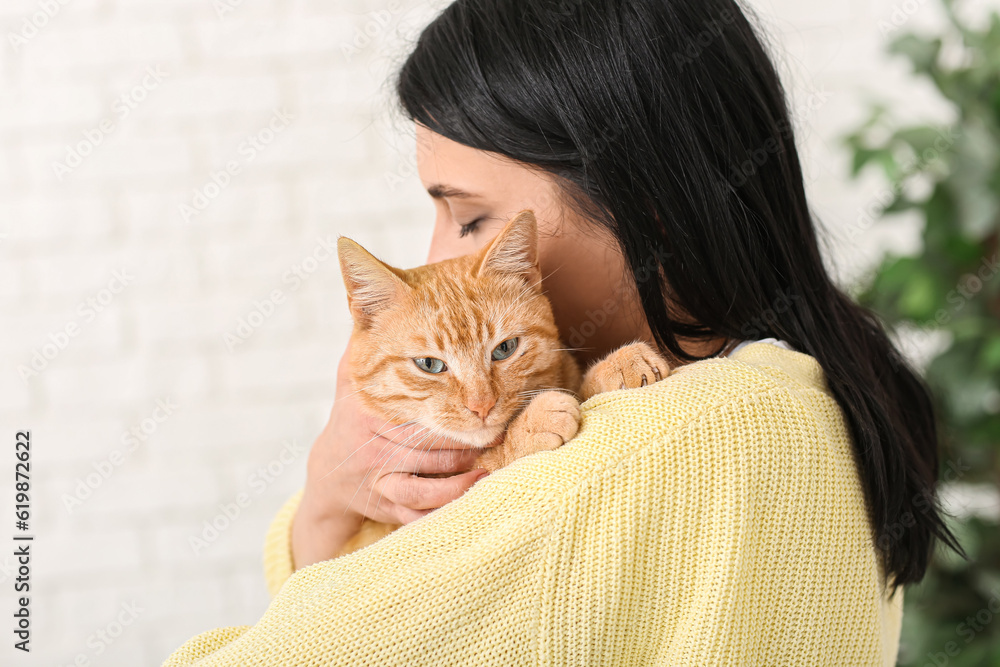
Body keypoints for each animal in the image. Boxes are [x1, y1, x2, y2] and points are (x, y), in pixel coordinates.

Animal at [336, 211, 672, 556]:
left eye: (505, 349)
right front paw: (532, 424)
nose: (481, 406)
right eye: (429, 365)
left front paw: (619, 364)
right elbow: (484, 465)